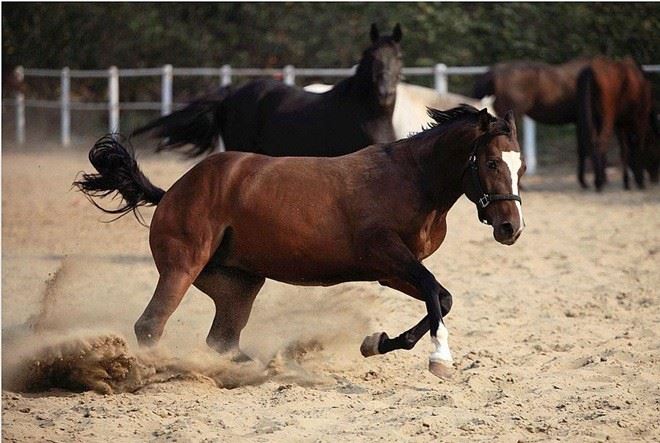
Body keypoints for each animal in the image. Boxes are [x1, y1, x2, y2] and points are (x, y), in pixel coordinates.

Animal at [73, 106, 524, 380]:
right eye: (490, 162)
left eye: (520, 166)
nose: (510, 229)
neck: (411, 179)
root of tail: (171, 193)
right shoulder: (389, 257)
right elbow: (434, 293)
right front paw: (439, 360)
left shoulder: (390, 270)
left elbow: (441, 300)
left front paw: (375, 343)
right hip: (183, 267)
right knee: (151, 325)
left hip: (239, 284)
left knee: (222, 340)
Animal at [576, 56, 656, 191]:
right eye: (657, 148)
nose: (655, 178)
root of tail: (590, 71)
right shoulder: (640, 120)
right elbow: (638, 146)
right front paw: (639, 181)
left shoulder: (620, 124)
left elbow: (624, 150)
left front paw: (627, 182)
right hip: (606, 118)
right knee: (600, 142)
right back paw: (599, 182)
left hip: (591, 119)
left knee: (590, 141)